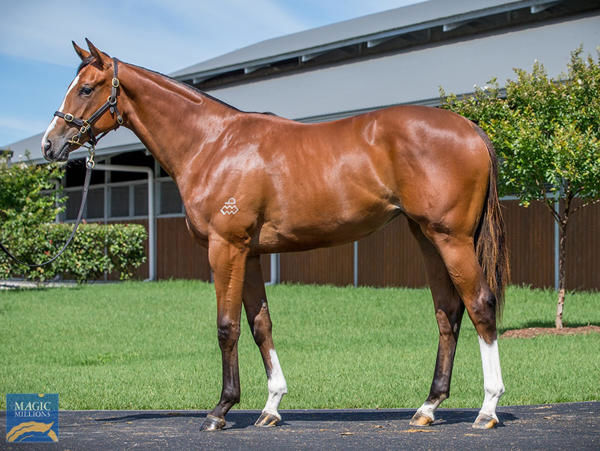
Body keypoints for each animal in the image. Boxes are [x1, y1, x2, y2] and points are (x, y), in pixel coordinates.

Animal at [42, 40, 508, 432]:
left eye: (86, 88)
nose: (50, 144)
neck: (213, 144)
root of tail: (471, 129)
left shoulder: (225, 248)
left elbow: (227, 326)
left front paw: (220, 410)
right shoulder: (248, 253)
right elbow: (259, 324)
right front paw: (271, 406)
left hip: (451, 238)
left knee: (480, 305)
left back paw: (487, 409)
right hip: (427, 237)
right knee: (448, 313)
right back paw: (428, 407)